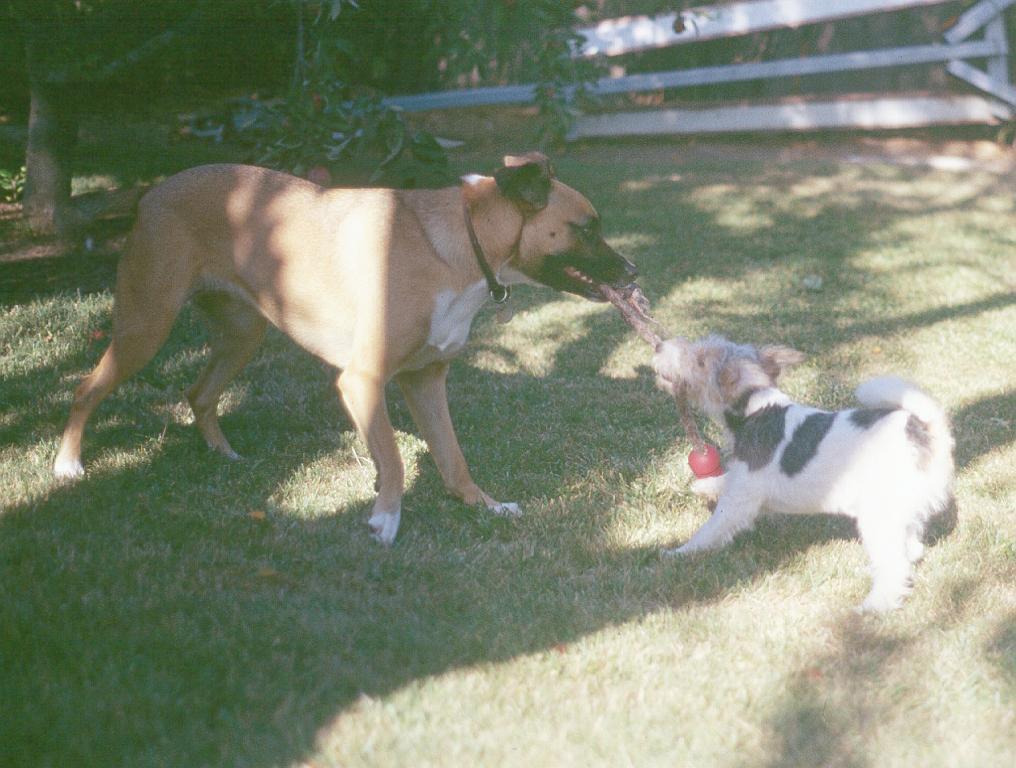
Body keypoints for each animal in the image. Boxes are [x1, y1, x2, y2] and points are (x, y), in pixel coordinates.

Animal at [55, 153, 633, 544]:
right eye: (588, 228)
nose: (632, 271)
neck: (462, 245)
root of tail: (152, 193)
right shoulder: (364, 381)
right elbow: (395, 458)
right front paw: (386, 519)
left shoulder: (425, 381)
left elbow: (453, 459)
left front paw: (483, 505)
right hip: (144, 328)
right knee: (86, 389)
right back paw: (68, 465)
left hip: (242, 335)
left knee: (199, 393)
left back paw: (223, 452)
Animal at [654, 335, 955, 613]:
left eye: (700, 360)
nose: (658, 347)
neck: (757, 408)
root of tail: (924, 431)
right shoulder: (742, 481)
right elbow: (723, 480)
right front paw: (702, 486)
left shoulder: (740, 500)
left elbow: (709, 531)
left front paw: (676, 553)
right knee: (912, 549)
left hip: (879, 517)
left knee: (895, 564)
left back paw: (874, 605)